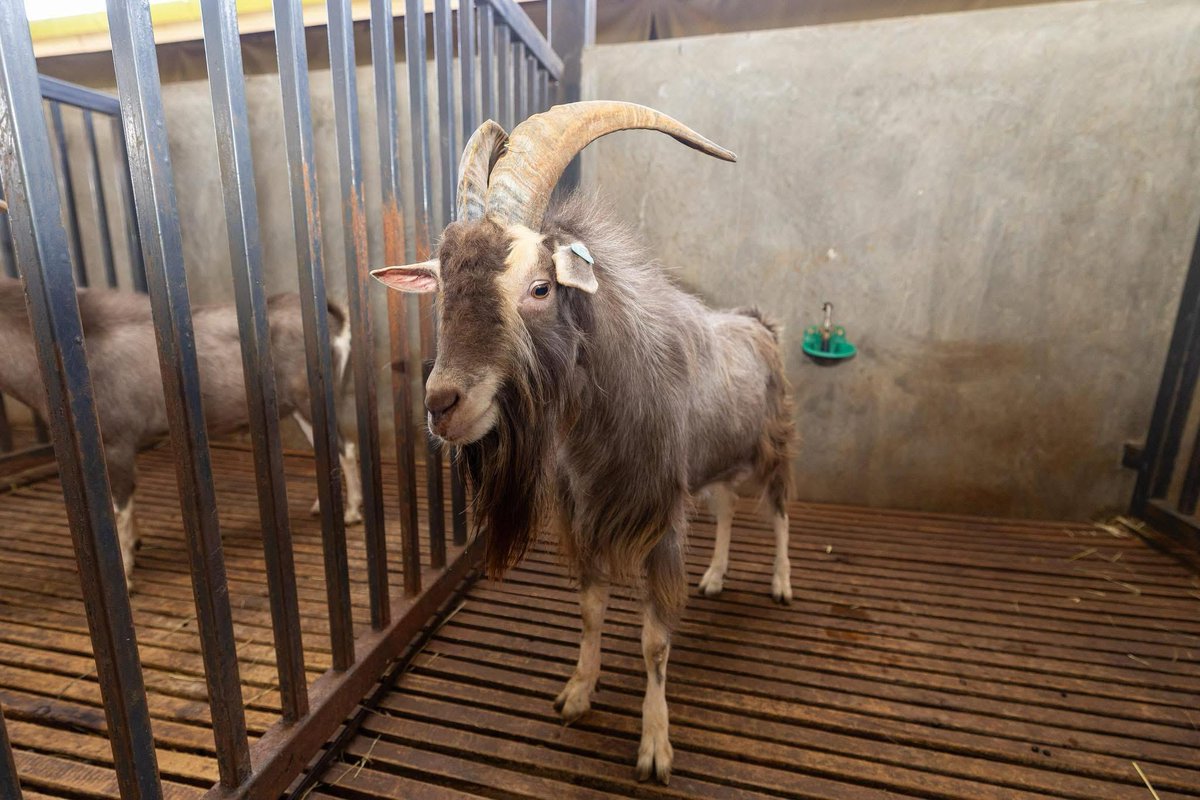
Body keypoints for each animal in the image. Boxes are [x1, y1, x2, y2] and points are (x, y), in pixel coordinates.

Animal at [0, 277, 362, 589]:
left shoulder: (116, 442)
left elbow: (119, 506)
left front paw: (127, 574)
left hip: (310, 399)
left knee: (346, 448)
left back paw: (351, 513)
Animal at [372, 101, 795, 783]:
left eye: (540, 287)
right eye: (441, 288)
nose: (442, 406)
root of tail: (759, 325)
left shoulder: (659, 517)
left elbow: (654, 642)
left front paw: (655, 746)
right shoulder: (587, 512)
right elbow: (592, 609)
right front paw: (577, 692)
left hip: (772, 445)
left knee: (779, 510)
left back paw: (781, 583)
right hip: (716, 463)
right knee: (730, 506)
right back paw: (715, 576)